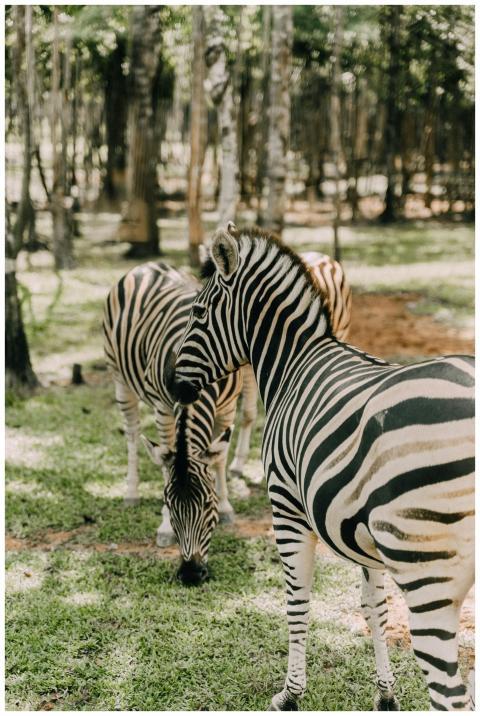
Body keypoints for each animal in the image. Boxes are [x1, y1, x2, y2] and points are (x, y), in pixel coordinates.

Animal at [103, 261, 240, 585]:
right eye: (171, 505)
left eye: (207, 504)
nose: (191, 574)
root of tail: (147, 266)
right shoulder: (163, 408)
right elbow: (167, 465)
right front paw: (164, 527)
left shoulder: (229, 404)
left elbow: (219, 458)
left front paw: (227, 507)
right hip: (119, 379)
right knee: (131, 434)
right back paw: (131, 492)